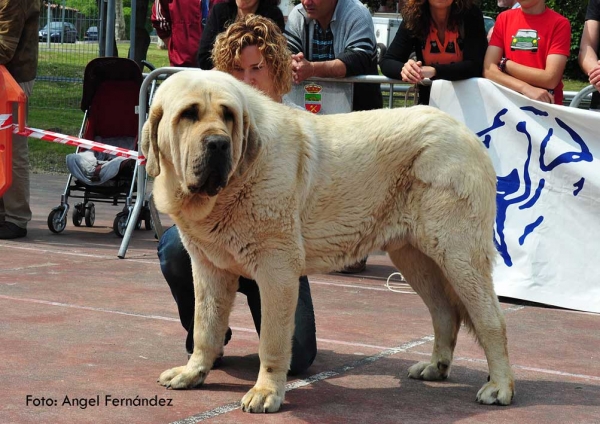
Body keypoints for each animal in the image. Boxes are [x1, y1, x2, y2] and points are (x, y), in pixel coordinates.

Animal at [142, 71, 516, 412]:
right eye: (188, 114)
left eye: (228, 115)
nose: (219, 143)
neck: (231, 186)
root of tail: (466, 133)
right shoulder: (209, 267)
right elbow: (205, 326)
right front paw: (194, 372)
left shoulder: (277, 272)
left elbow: (272, 341)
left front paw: (266, 392)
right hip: (414, 258)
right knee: (444, 312)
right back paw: (436, 367)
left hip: (458, 254)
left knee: (491, 319)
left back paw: (500, 386)